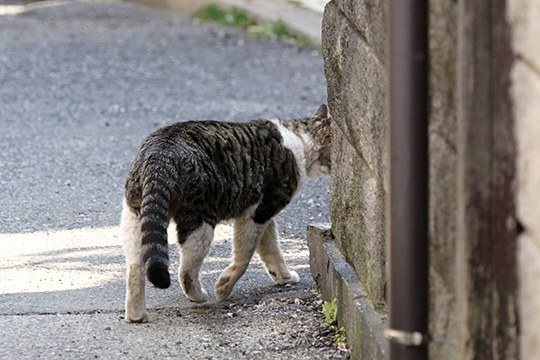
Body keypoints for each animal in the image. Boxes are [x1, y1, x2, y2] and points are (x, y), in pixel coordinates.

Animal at [122, 104, 332, 324]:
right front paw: (224, 287)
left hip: (137, 218)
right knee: (186, 272)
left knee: (135, 268)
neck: (299, 138)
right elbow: (244, 257)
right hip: (200, 223)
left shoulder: (264, 216)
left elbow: (271, 250)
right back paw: (199, 296)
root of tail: (162, 151)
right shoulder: (257, 213)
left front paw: (284, 277)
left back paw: (136, 315)